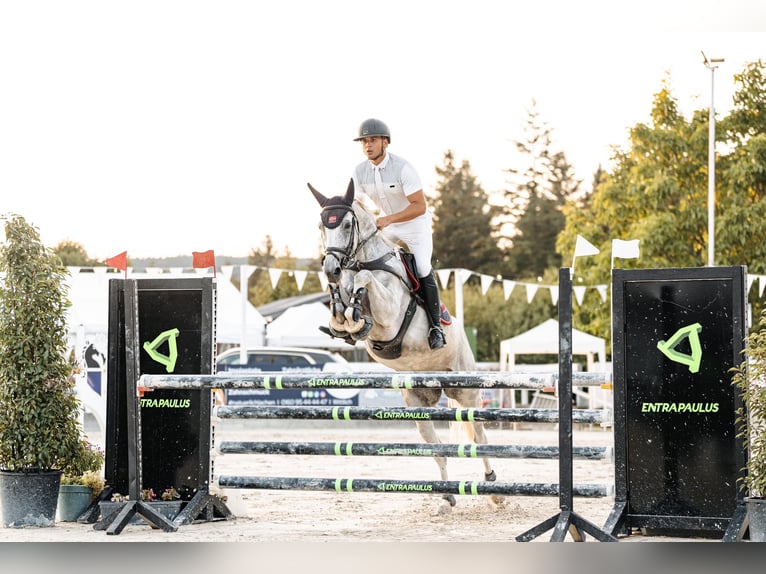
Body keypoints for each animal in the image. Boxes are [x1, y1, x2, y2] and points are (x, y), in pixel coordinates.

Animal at [308, 180, 500, 516]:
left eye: (345, 225)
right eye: (321, 226)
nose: (331, 268)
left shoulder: (389, 318)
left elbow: (364, 280)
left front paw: (355, 312)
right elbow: (342, 304)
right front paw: (344, 316)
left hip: (466, 391)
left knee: (479, 434)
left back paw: (493, 488)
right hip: (418, 402)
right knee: (437, 448)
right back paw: (446, 498)